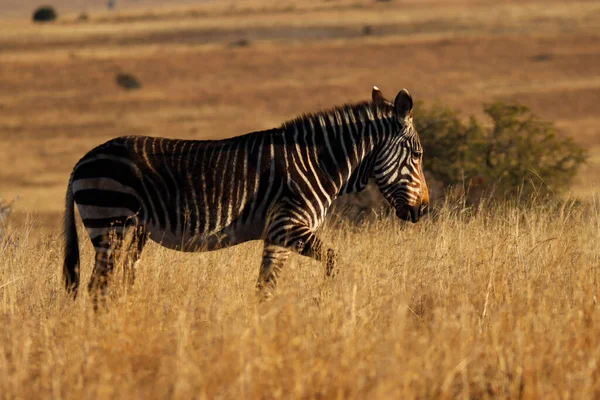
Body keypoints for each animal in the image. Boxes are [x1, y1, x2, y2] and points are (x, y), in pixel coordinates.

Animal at [63, 86, 428, 302]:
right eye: (418, 155)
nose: (423, 209)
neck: (318, 163)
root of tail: (82, 160)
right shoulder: (286, 226)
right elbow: (326, 261)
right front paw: (322, 302)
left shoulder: (277, 235)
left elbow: (265, 286)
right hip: (110, 222)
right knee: (97, 287)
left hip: (132, 232)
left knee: (116, 282)